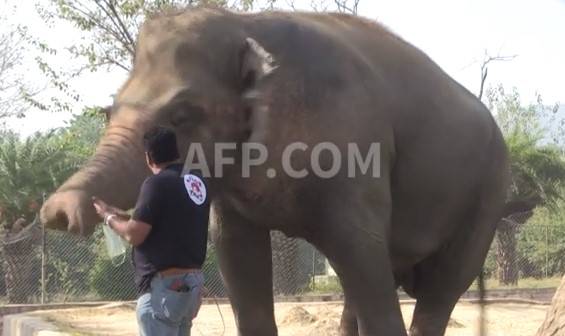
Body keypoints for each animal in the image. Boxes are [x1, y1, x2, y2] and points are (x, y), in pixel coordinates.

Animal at [39, 7, 506, 336]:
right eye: (108, 111)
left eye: (182, 115)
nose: (57, 212)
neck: (244, 23)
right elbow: (235, 249)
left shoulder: (356, 151)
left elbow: (357, 243)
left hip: (486, 196)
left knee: (437, 288)